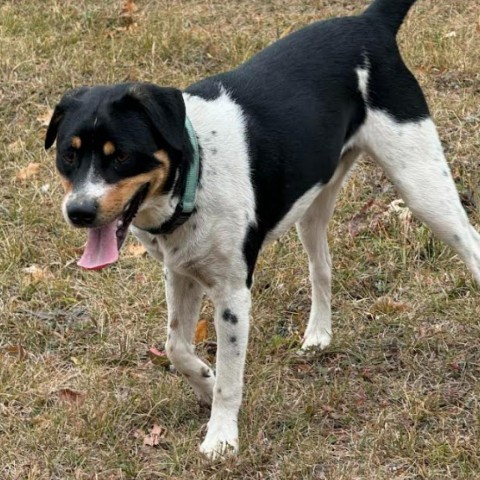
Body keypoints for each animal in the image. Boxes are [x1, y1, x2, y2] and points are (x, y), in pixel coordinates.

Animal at [44, 0, 476, 458]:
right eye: (68, 155)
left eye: (122, 156)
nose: (79, 212)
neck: (197, 169)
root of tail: (368, 23)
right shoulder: (180, 273)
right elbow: (176, 347)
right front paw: (205, 381)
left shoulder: (232, 292)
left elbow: (230, 380)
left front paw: (221, 437)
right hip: (313, 205)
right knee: (322, 268)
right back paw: (318, 335)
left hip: (421, 184)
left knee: (472, 244)